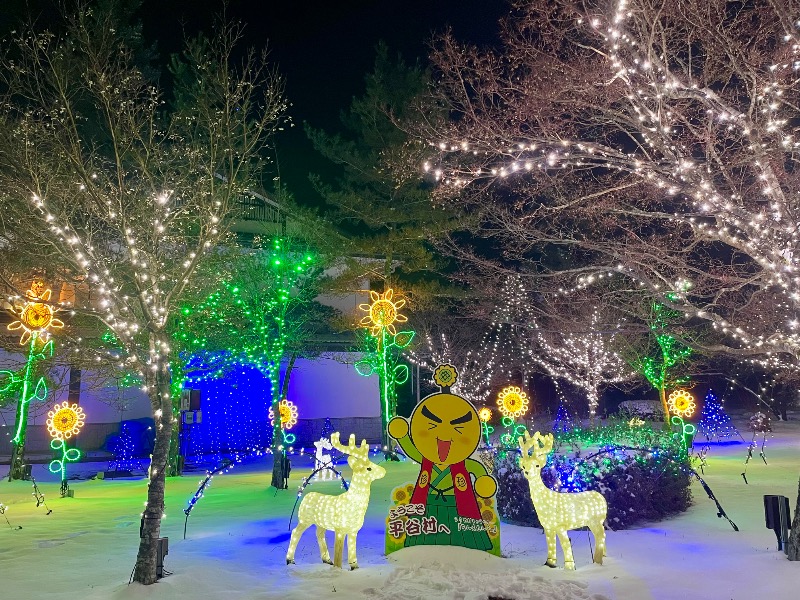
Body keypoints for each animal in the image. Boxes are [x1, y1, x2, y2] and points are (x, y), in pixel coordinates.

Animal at [288, 434, 388, 568]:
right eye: (369, 468)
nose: (384, 471)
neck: (353, 503)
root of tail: (306, 496)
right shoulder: (340, 528)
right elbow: (338, 555)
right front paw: (337, 568)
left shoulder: (354, 530)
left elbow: (352, 551)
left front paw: (354, 567)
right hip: (304, 519)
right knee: (295, 532)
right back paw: (290, 560)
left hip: (320, 522)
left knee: (319, 534)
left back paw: (326, 560)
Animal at [520, 428, 608, 568]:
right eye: (523, 465)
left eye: (537, 465)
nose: (527, 472)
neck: (545, 500)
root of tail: (602, 499)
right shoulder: (548, 526)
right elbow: (551, 545)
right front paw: (549, 564)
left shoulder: (560, 525)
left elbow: (565, 544)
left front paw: (570, 567)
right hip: (596, 521)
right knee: (602, 536)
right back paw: (604, 557)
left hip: (595, 519)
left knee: (600, 536)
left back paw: (597, 562)